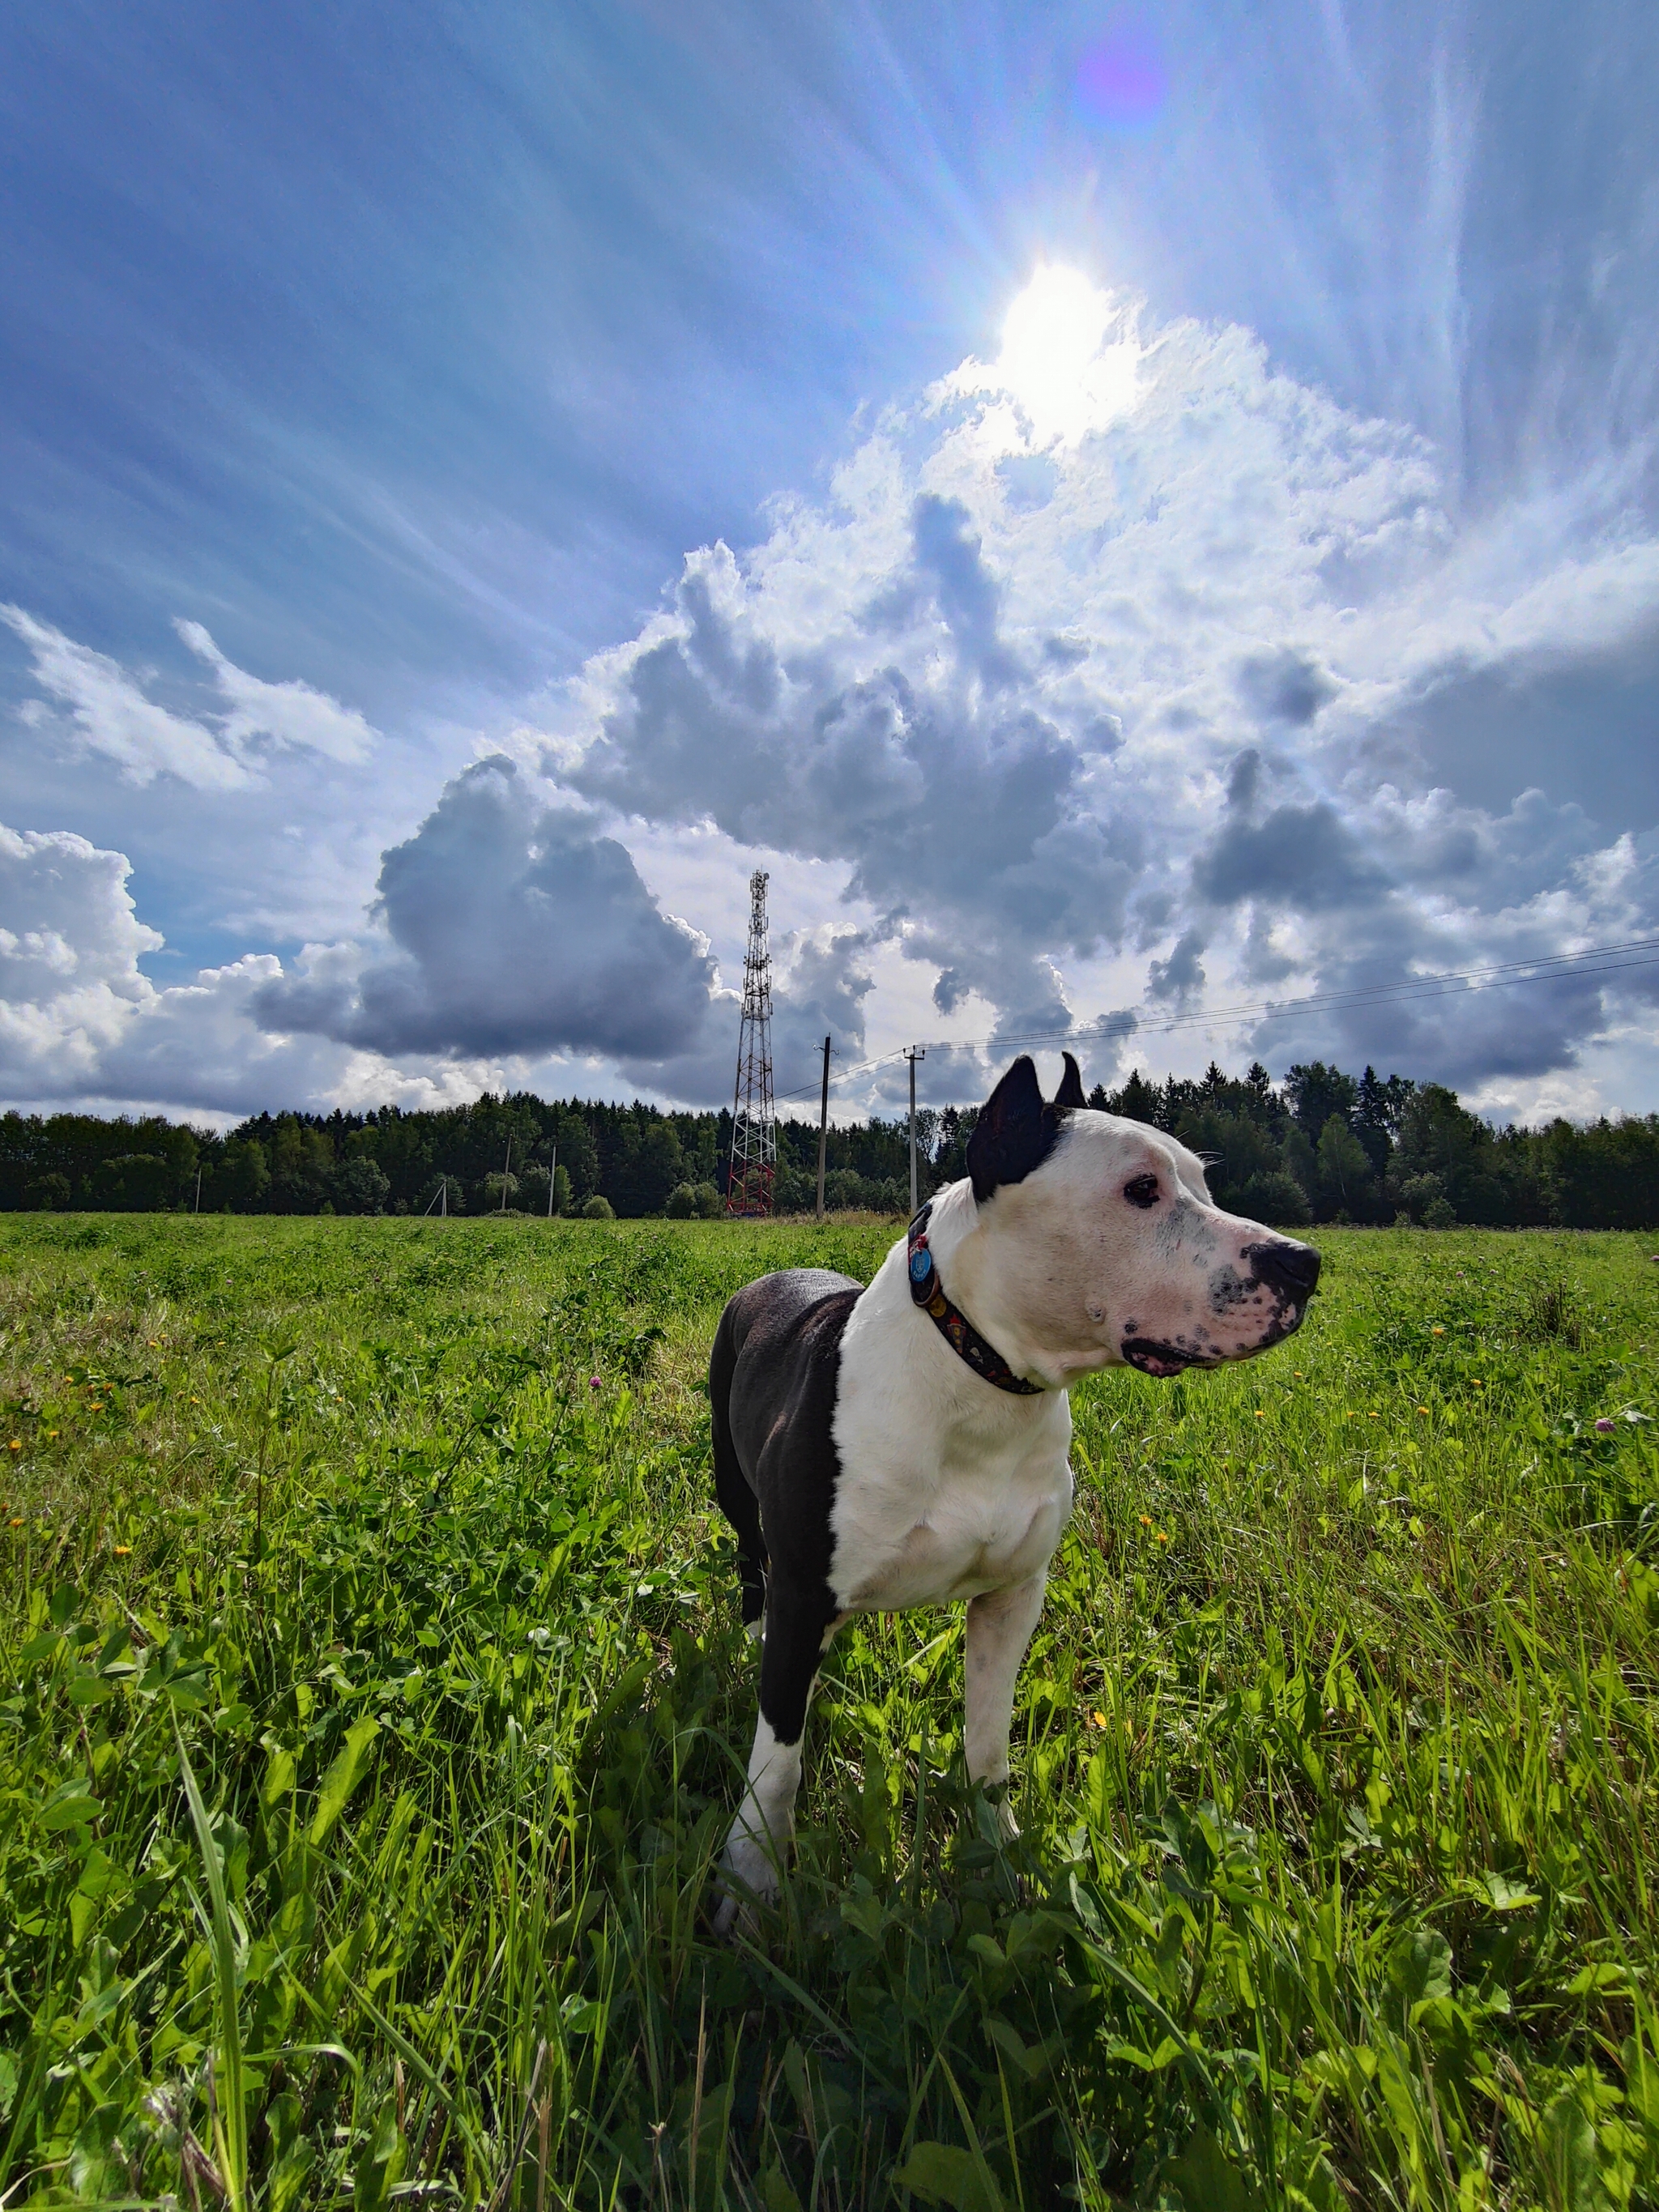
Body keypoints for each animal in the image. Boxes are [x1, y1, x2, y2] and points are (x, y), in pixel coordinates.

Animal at [707, 1044, 1318, 1929]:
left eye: (1203, 1183)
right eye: (1141, 1189)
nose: (1302, 1261)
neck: (986, 1379)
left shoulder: (1012, 1596)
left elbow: (988, 1743)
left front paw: (998, 1855)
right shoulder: (802, 1596)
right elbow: (776, 1761)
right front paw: (750, 1881)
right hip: (736, 1494)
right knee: (749, 1567)